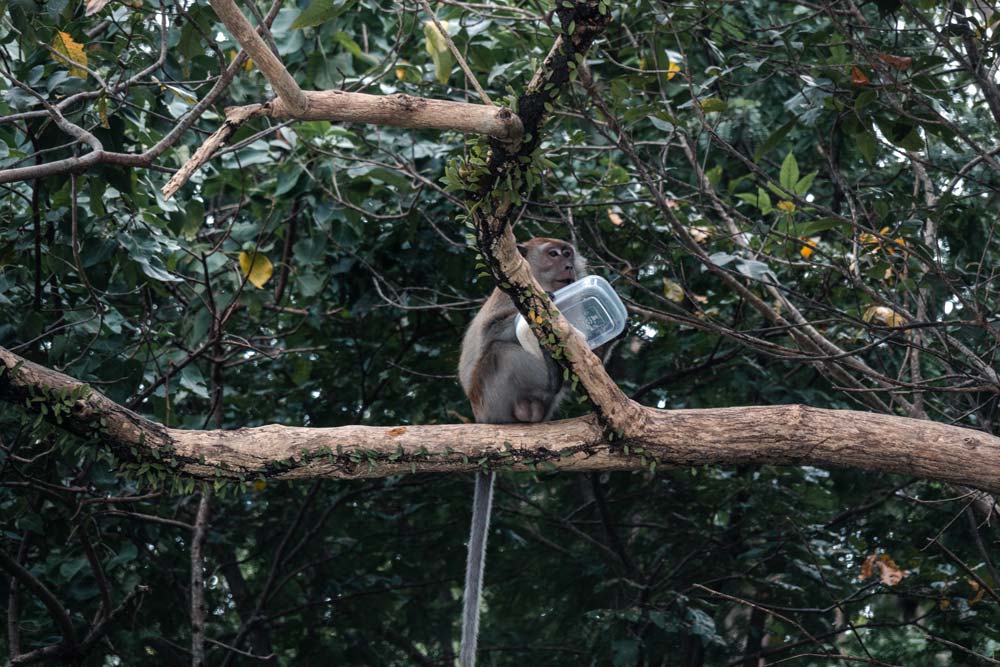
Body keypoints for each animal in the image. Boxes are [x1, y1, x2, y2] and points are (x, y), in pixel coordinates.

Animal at [457, 237, 586, 667]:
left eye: (568, 253)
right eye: (554, 253)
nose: (568, 265)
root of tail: (481, 418)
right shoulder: (506, 297)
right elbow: (496, 329)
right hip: (494, 391)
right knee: (500, 350)